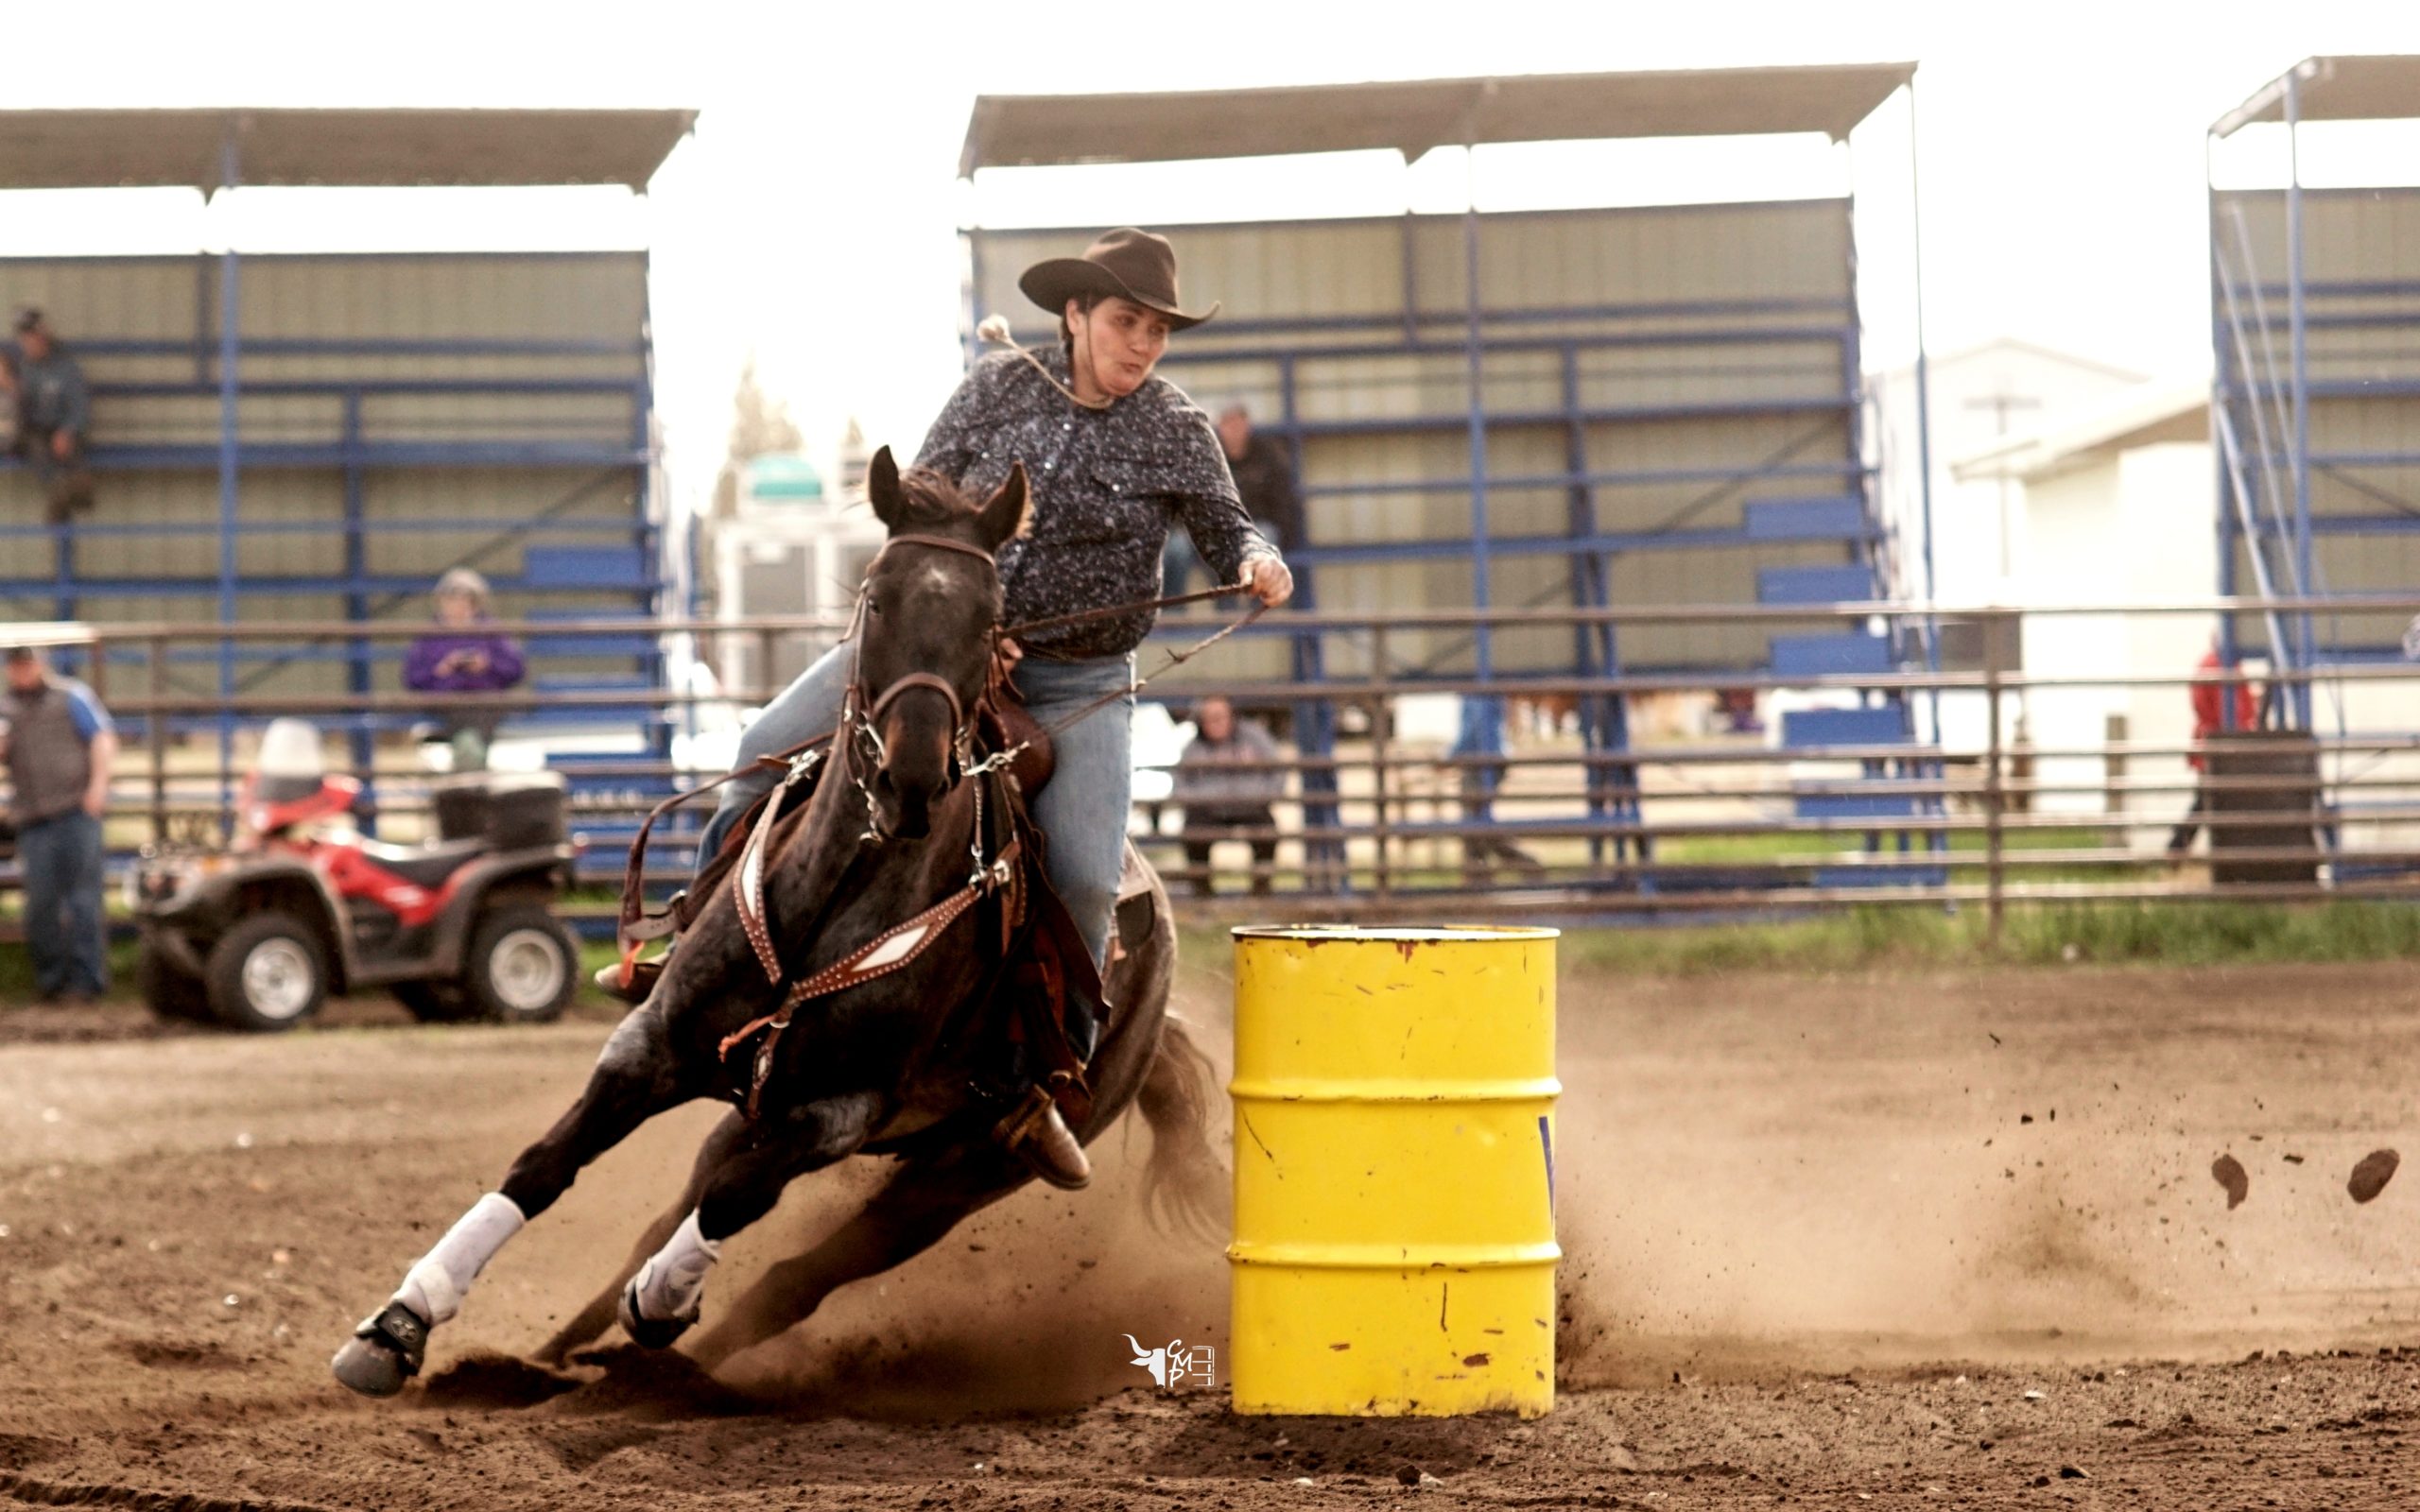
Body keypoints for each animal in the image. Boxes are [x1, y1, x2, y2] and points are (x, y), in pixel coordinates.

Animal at [329, 455, 1219, 1393]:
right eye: (875, 596)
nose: (910, 779)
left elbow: (733, 1204)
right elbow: (545, 1165)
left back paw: (664, 1364)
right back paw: (552, 1359)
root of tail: (1155, 1005)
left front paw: (663, 1301)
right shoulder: (654, 1048)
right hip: (761, 1116)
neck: (830, 900)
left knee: (796, 1278)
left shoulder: (837, 1111)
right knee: (674, 1222)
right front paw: (397, 1326)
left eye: (988, 621)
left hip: (962, 1173)